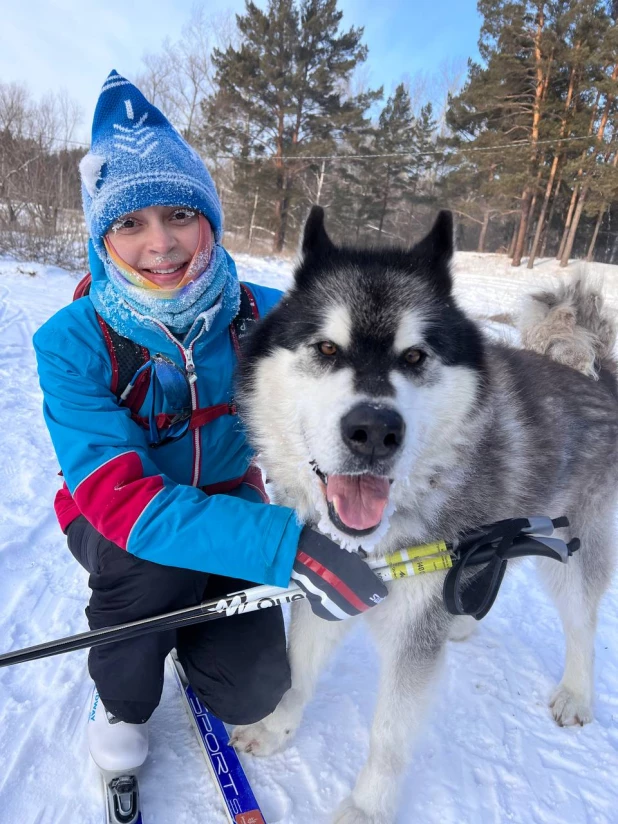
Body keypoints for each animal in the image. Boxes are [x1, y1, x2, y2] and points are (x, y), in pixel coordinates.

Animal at [229, 209, 612, 820]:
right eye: (327, 349)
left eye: (414, 357)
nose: (374, 430)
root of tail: (596, 376)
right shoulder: (326, 586)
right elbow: (297, 669)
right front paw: (276, 727)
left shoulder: (412, 634)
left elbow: (388, 734)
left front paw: (366, 808)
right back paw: (463, 620)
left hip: (573, 555)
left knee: (582, 622)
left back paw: (576, 691)